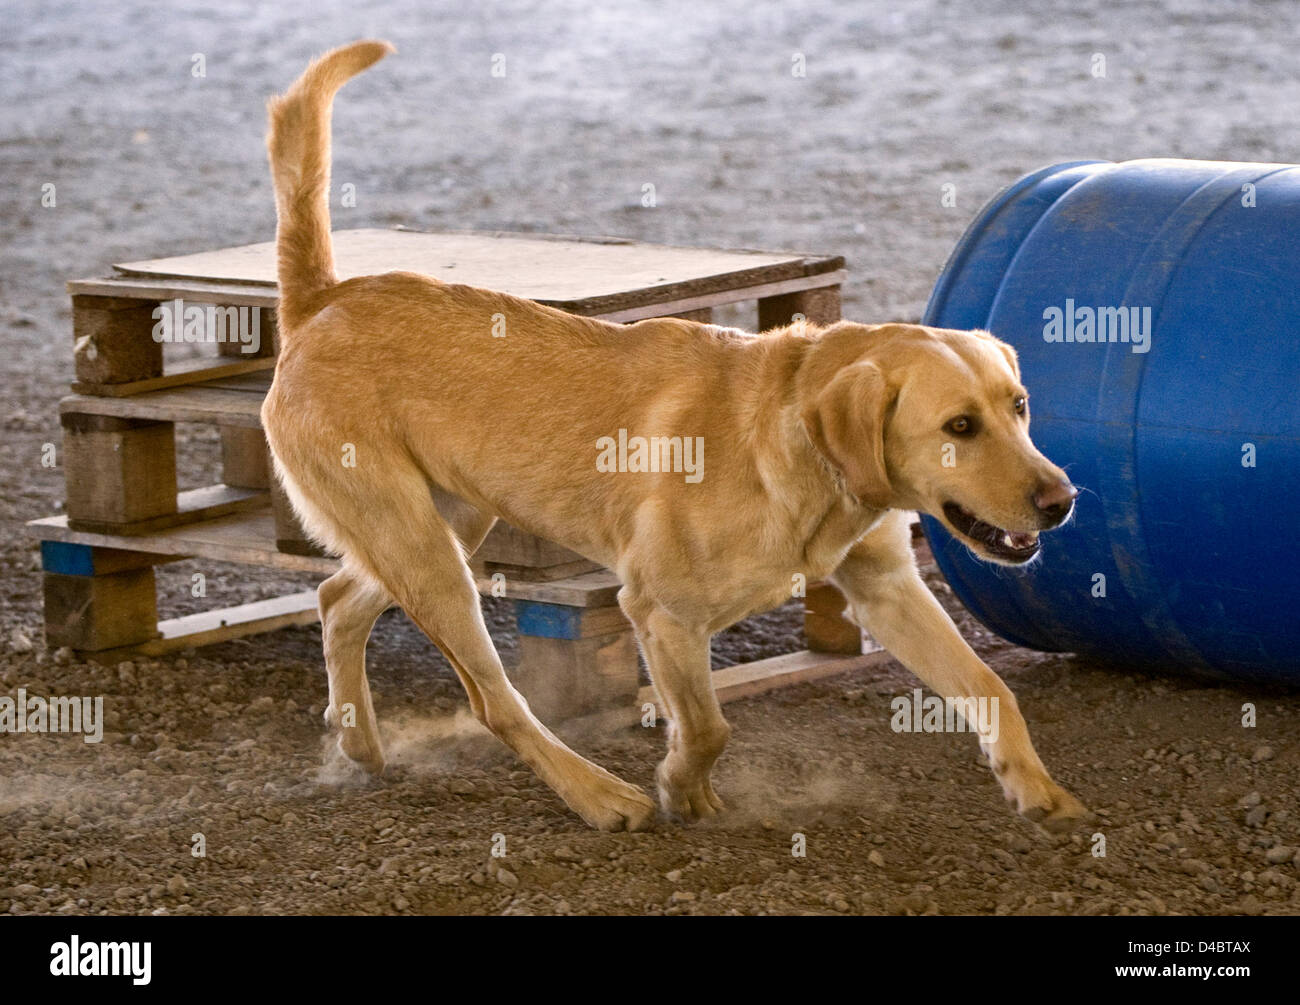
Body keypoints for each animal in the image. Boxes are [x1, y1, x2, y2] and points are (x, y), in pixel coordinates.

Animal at [261, 41, 1086, 832]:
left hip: (444, 527)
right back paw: (599, 795)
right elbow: (710, 726)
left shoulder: (886, 588)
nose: (1063, 501)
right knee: (493, 697)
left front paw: (1037, 788)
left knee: (337, 598)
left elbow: (988, 685)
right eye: (959, 426)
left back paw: (360, 744)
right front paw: (680, 789)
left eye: (1019, 406)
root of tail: (323, 301)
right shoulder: (661, 614)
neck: (799, 458)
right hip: (429, 556)